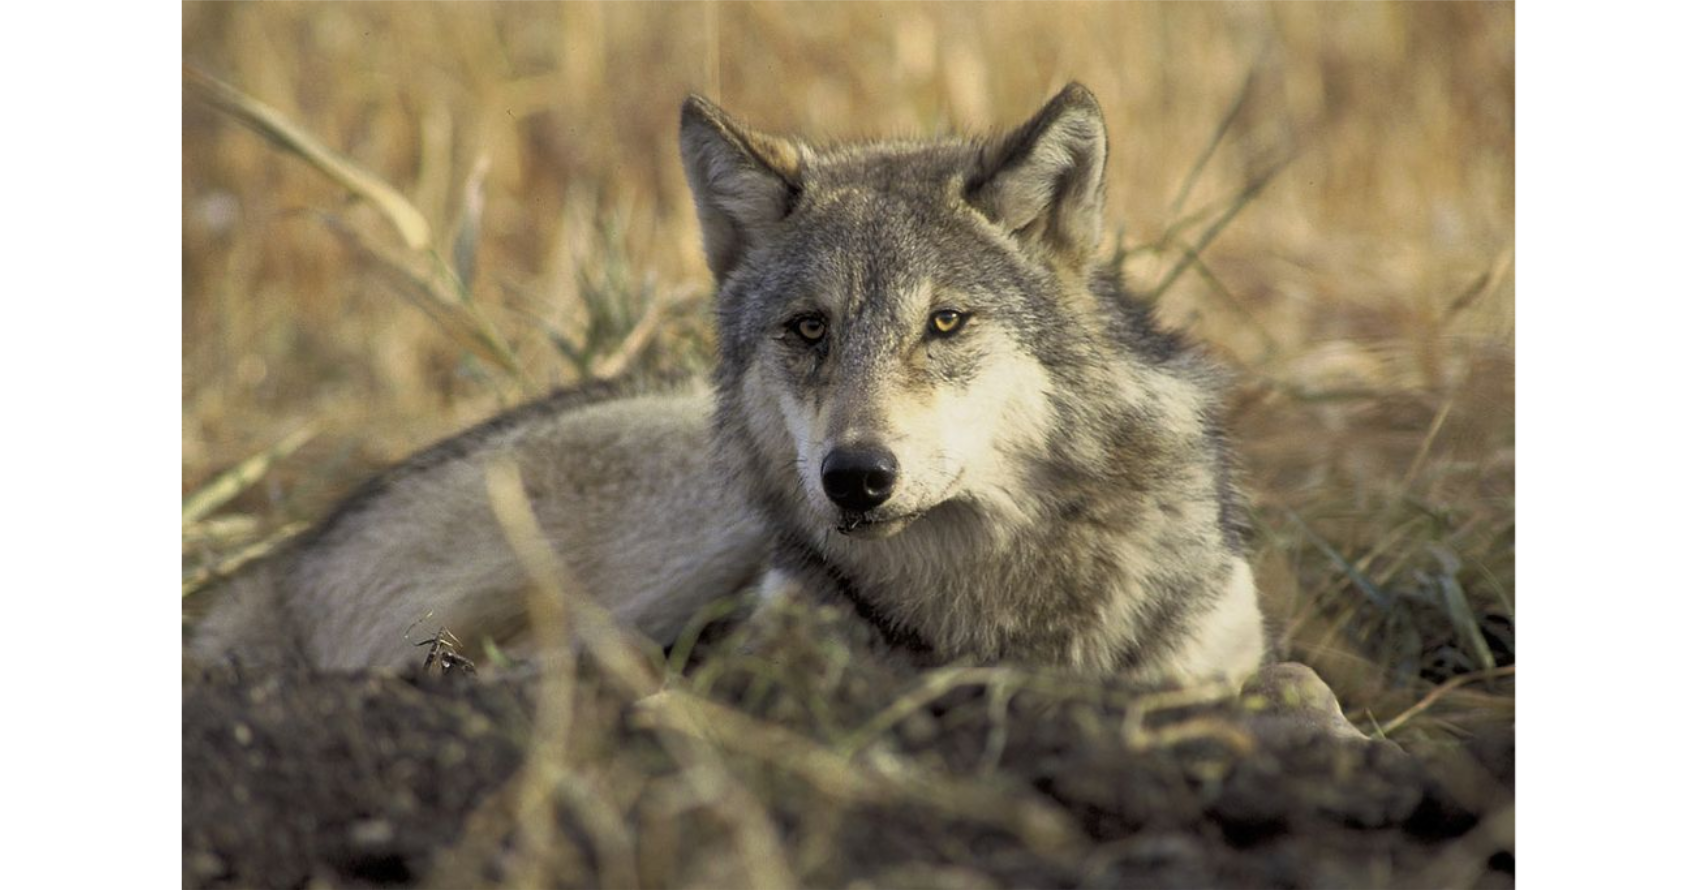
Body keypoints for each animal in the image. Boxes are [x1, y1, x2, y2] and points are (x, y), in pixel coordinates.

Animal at [192, 83, 1267, 686]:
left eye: (945, 323)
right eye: (808, 329)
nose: (855, 479)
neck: (991, 602)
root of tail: (283, 563)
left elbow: (1282, 683)